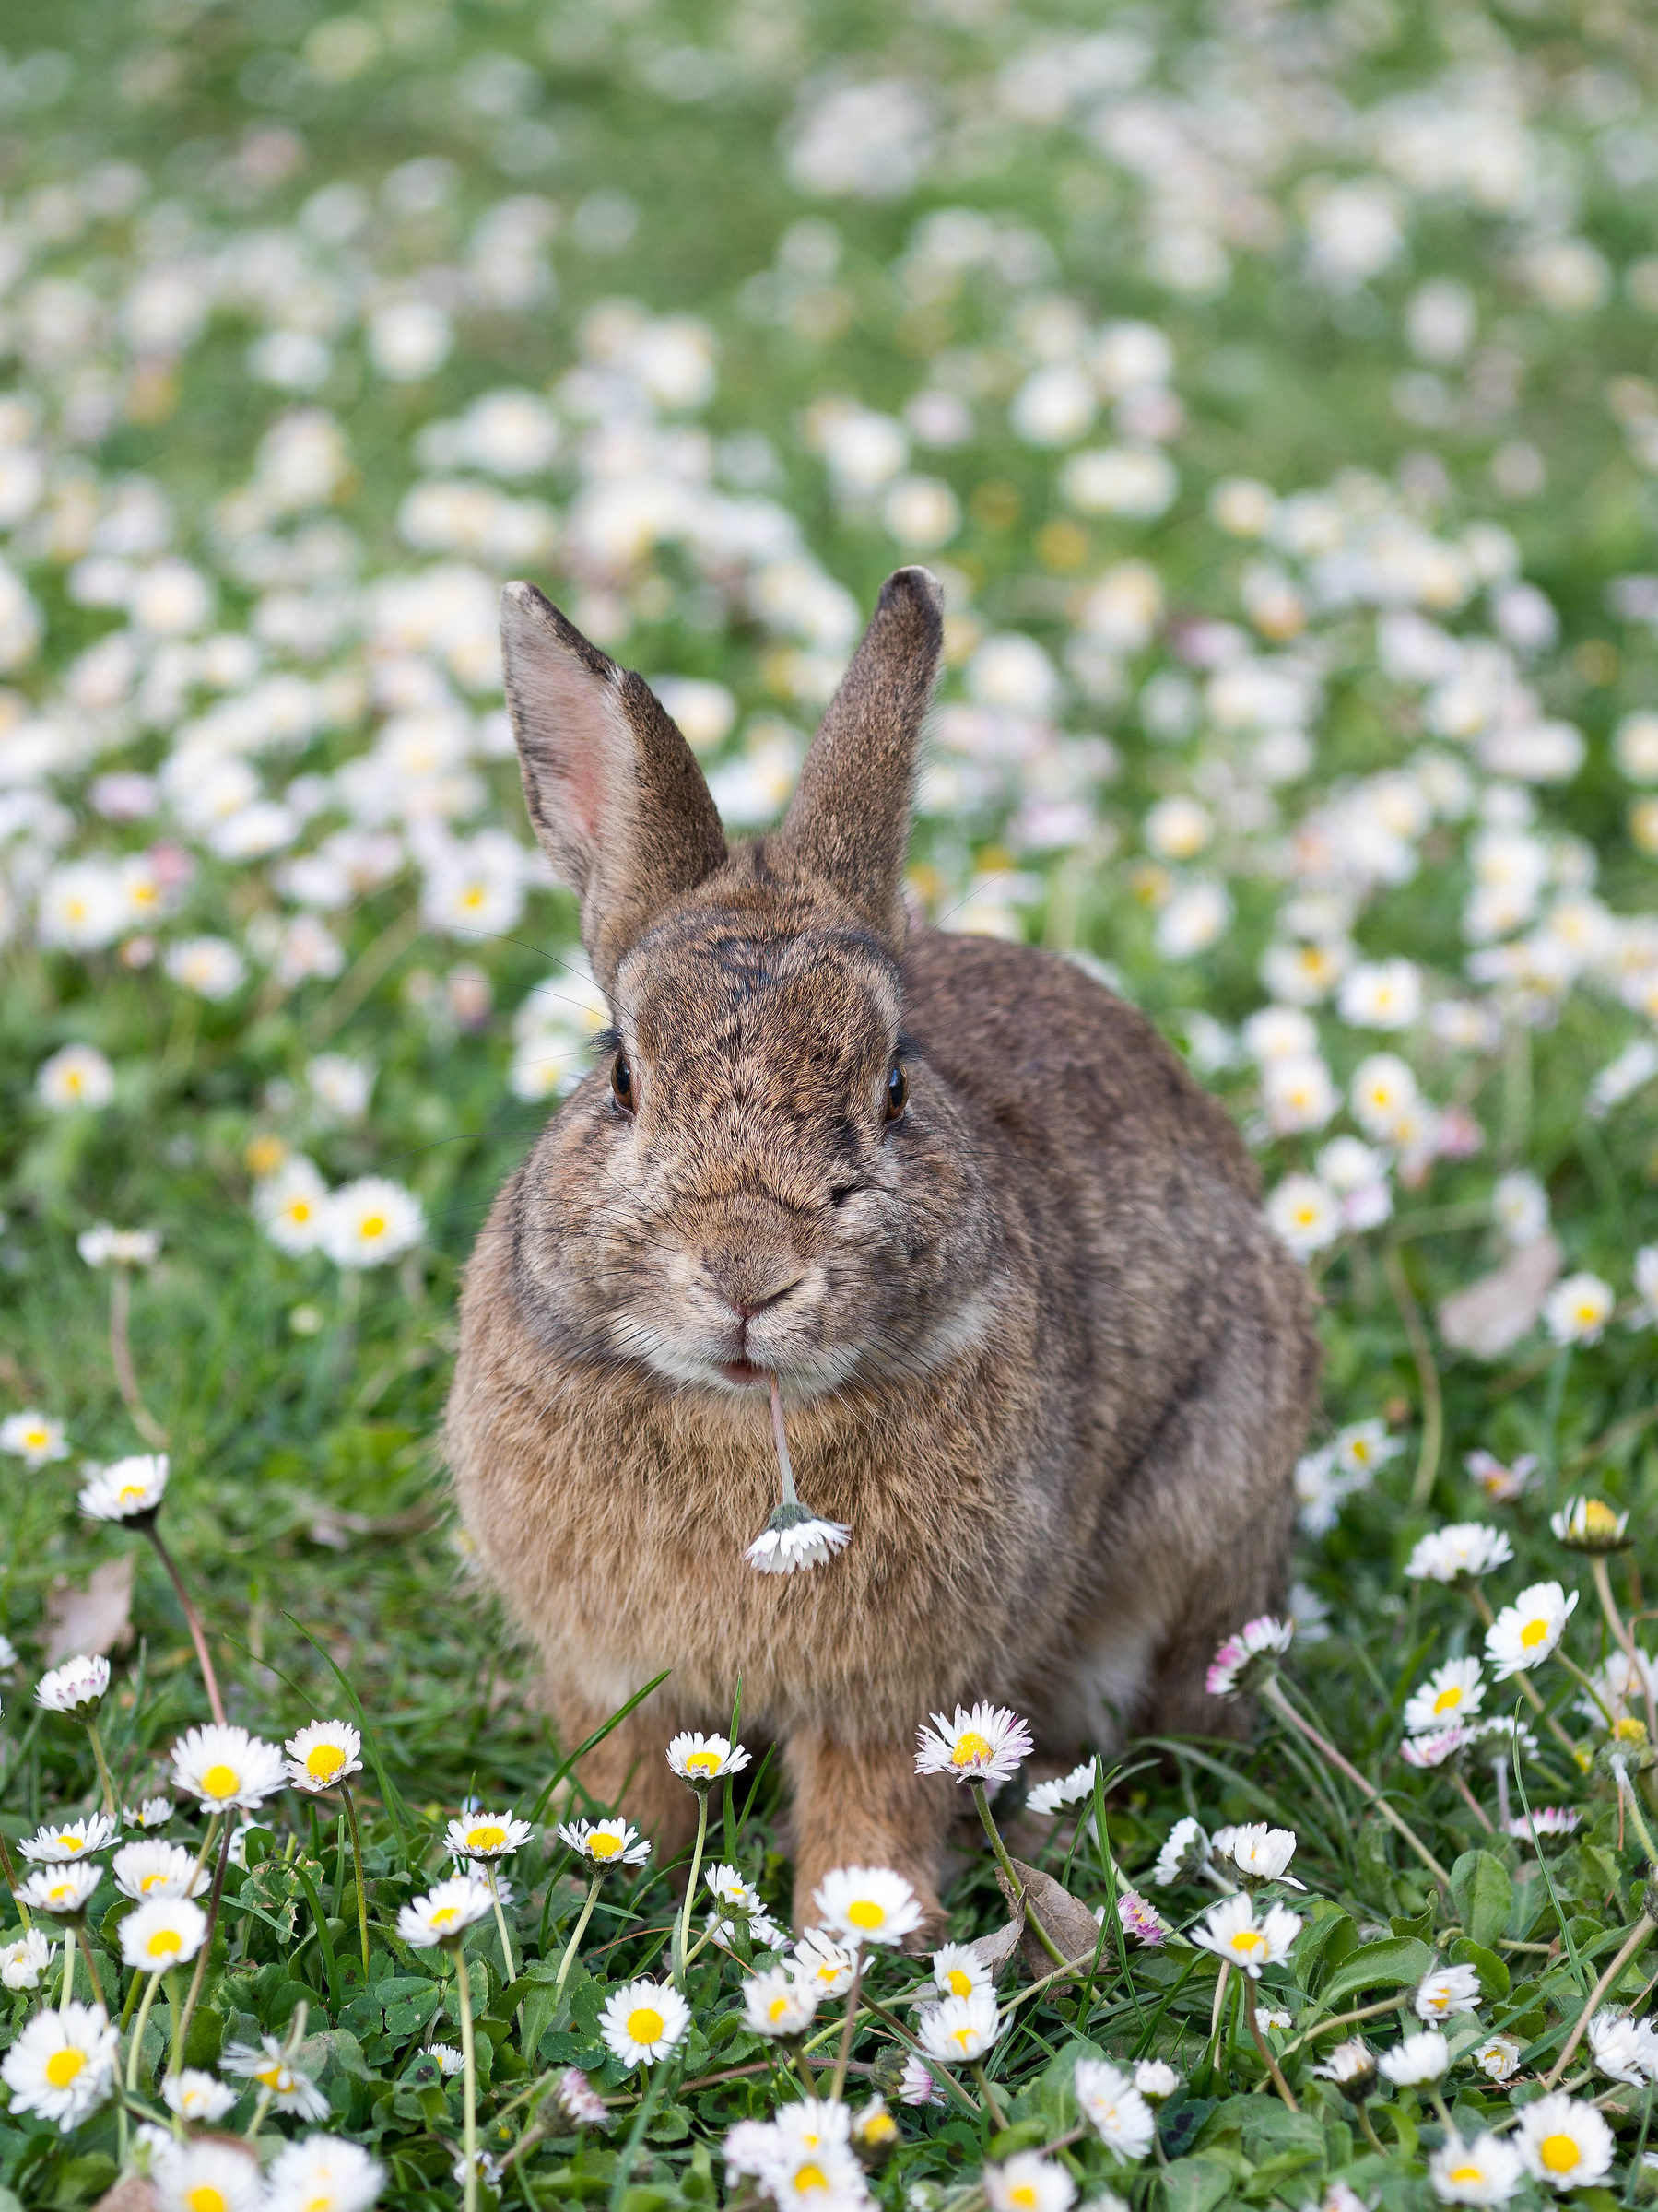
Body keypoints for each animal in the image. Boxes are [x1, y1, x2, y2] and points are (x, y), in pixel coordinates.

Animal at [447, 565, 1320, 1935]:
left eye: (894, 1087)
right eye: (621, 1077)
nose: (746, 1273)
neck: (740, 1417)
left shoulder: (901, 1695)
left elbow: (870, 1818)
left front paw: (847, 1938)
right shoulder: (607, 1669)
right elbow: (630, 1782)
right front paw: (618, 1877)